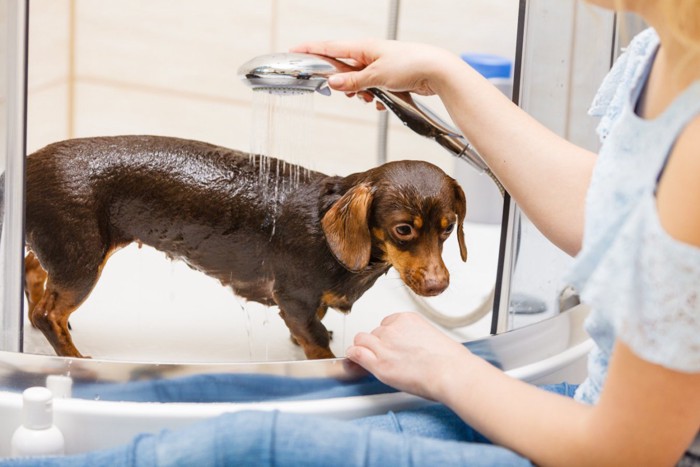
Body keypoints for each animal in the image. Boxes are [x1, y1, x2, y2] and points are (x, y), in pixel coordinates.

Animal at [20, 136, 470, 362]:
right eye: (403, 230)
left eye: (448, 229)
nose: (438, 285)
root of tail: (24, 166)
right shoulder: (294, 298)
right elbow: (316, 341)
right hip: (82, 261)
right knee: (47, 313)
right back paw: (74, 358)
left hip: (64, 253)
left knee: (31, 270)